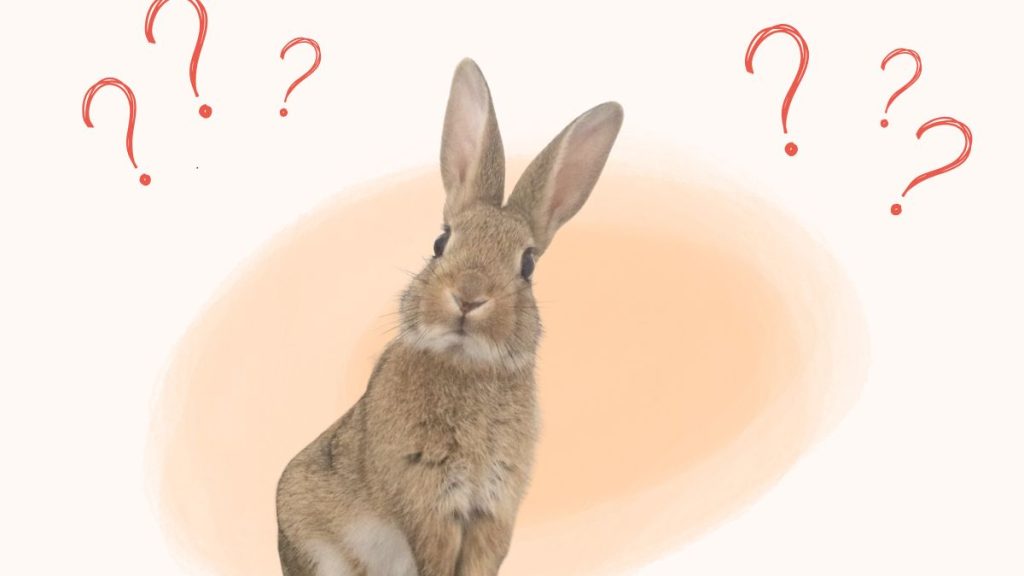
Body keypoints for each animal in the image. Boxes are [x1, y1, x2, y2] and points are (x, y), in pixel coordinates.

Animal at [276, 57, 623, 576]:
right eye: (441, 241)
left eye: (528, 265)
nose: (469, 296)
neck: (467, 365)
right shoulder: (430, 505)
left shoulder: (491, 512)